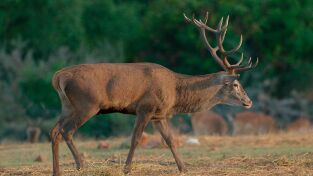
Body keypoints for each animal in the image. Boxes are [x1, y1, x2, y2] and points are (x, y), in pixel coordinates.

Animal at [50, 11, 258, 175]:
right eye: (236, 84)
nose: (249, 101)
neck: (176, 92)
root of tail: (58, 76)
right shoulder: (145, 107)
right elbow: (135, 139)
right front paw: (127, 169)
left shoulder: (159, 114)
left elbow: (171, 140)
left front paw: (184, 168)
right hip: (87, 104)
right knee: (67, 131)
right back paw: (81, 165)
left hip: (68, 105)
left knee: (54, 131)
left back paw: (57, 171)